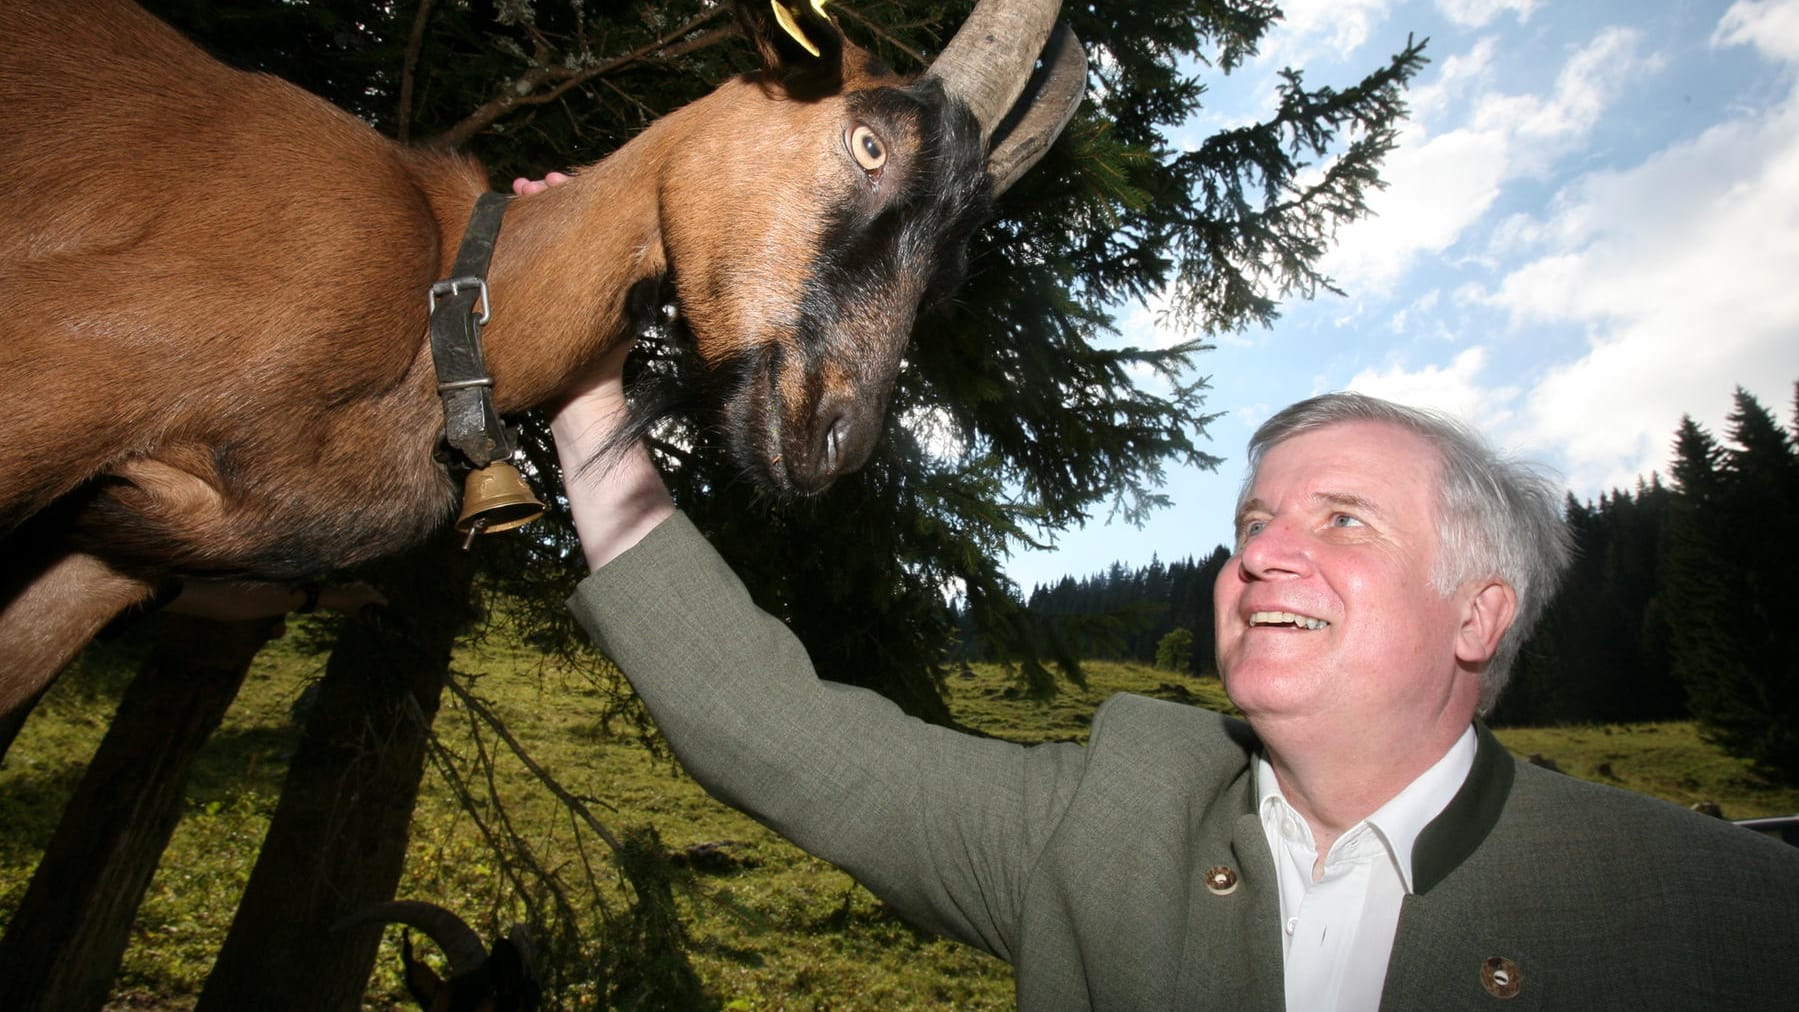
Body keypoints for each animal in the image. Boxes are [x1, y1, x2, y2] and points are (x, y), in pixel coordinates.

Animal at [0, 0, 1079, 708]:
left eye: (950, 267)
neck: (446, 287)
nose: (834, 438)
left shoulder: (114, 559)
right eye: (866, 143)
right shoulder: (64, 362)